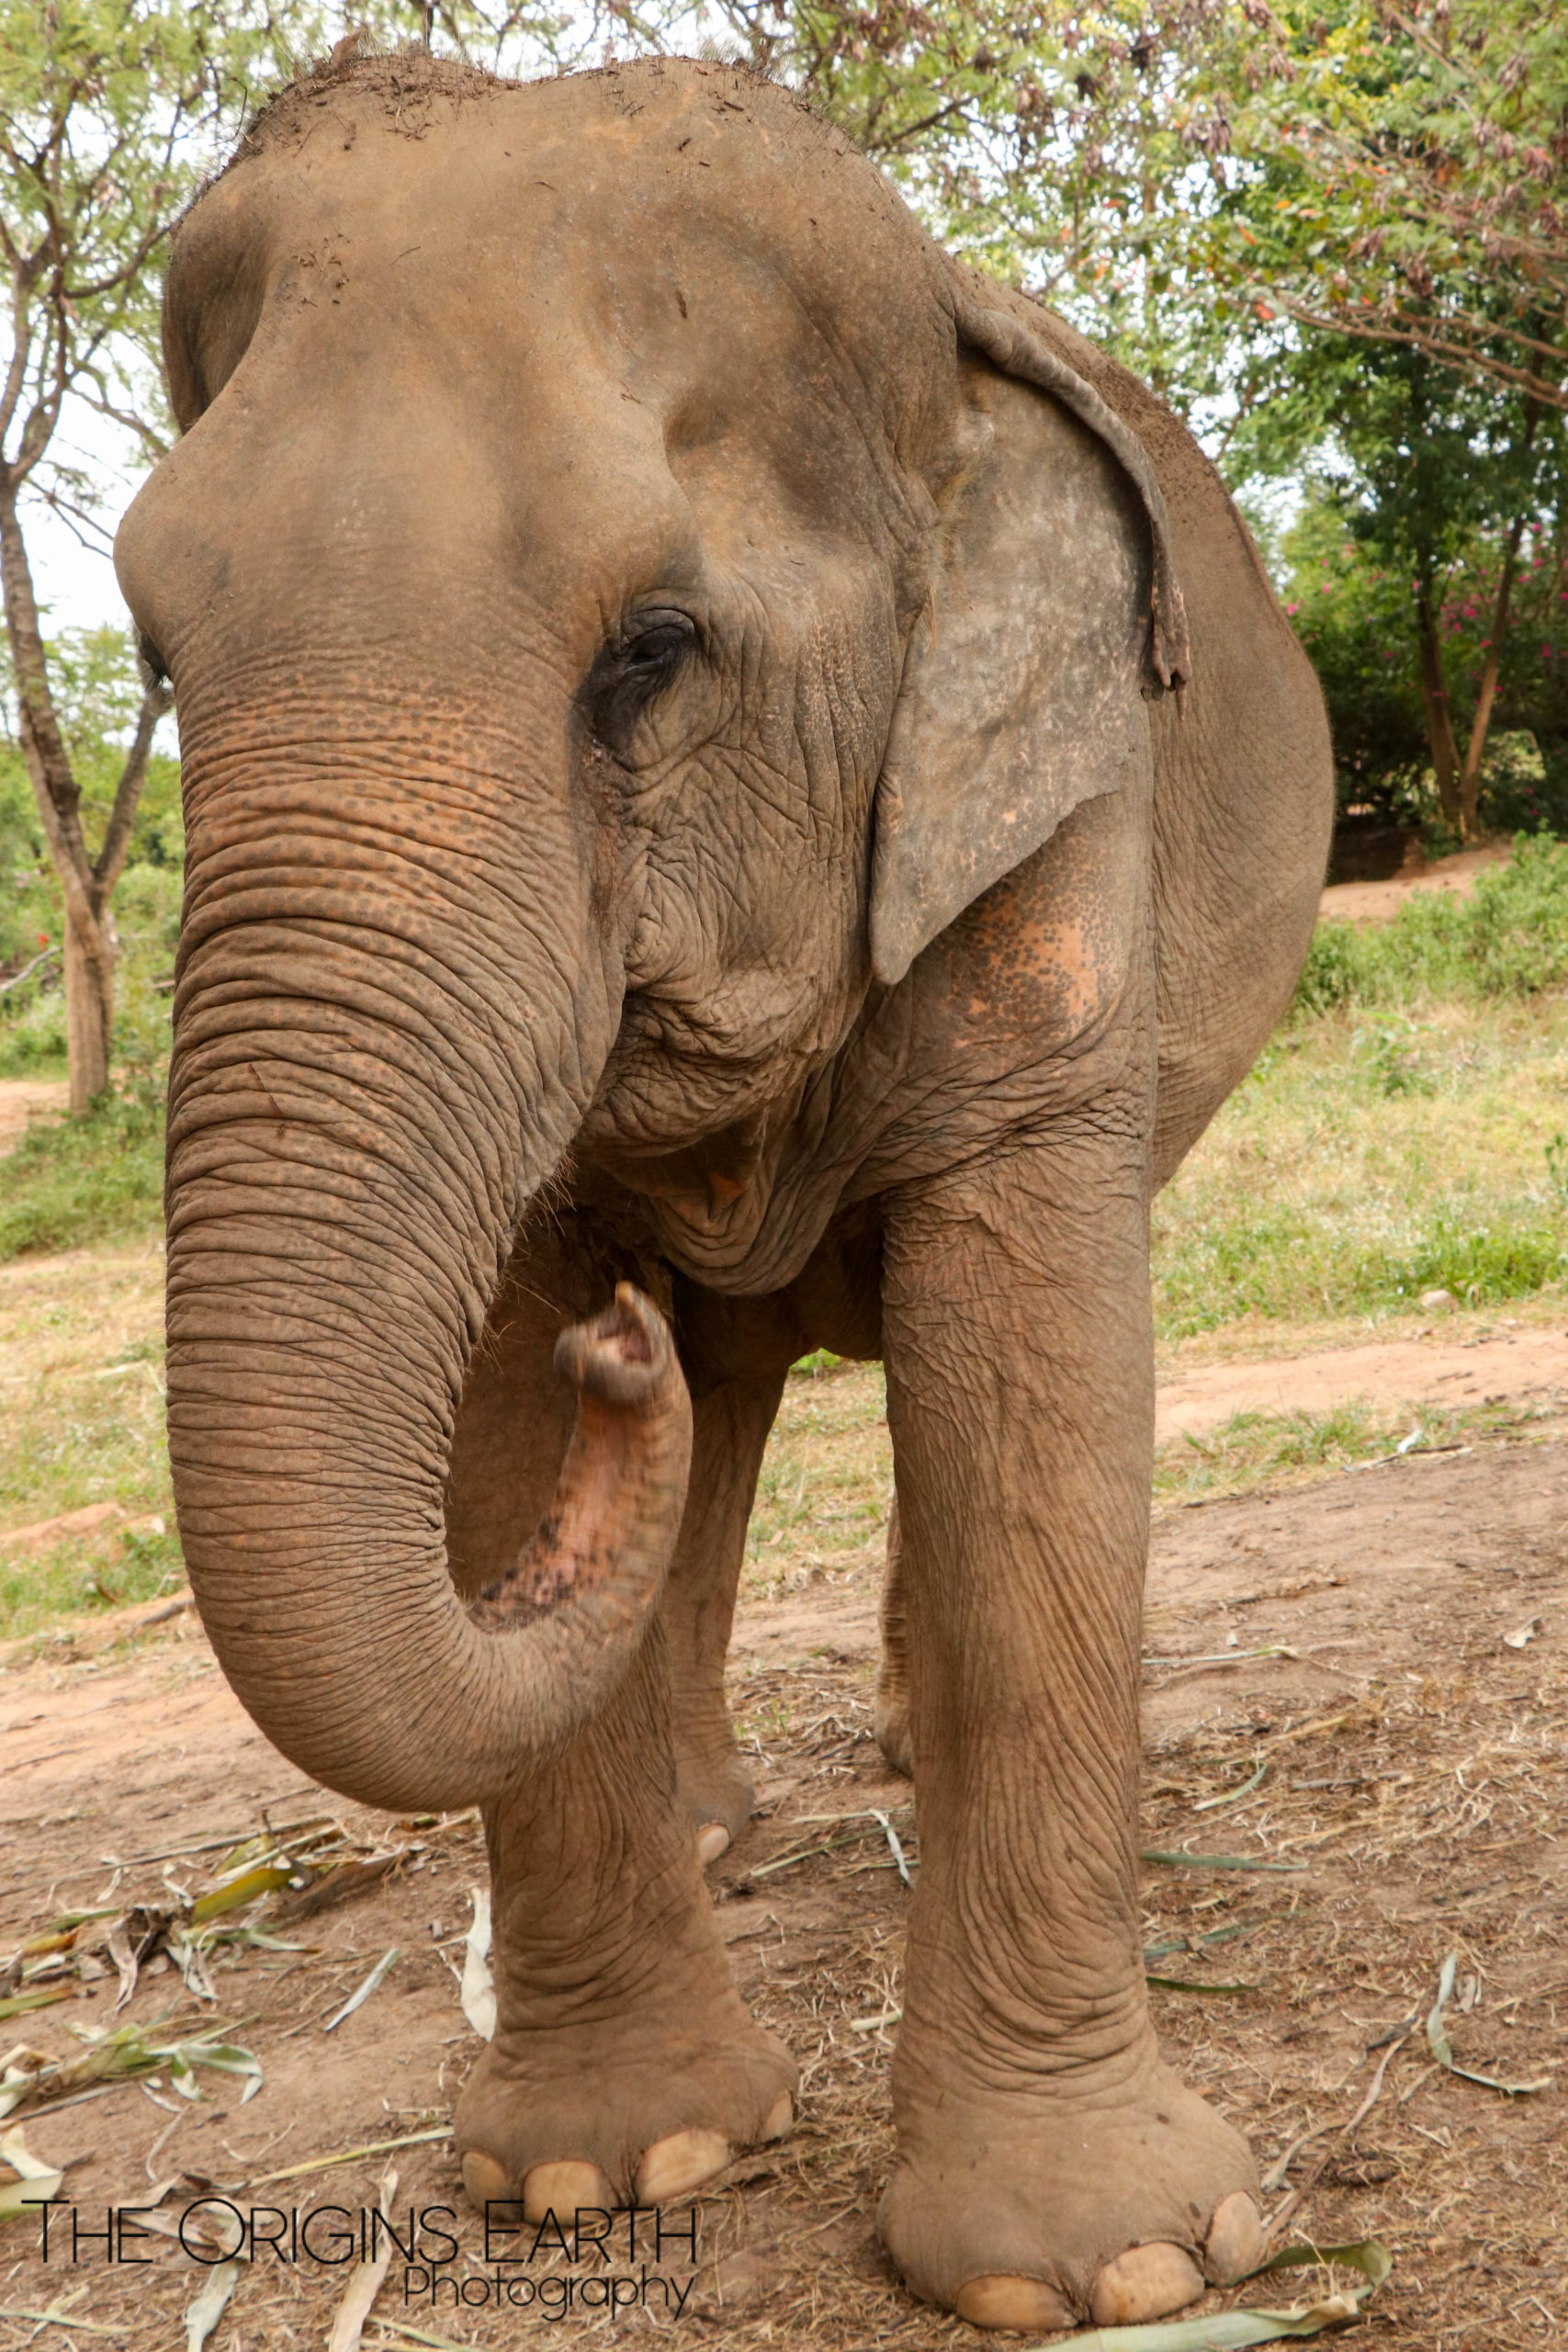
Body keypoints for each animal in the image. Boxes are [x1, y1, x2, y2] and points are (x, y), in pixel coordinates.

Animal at [116, 51, 1335, 2333]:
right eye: (147, 642)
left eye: (652, 649)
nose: (620, 1350)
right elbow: (514, 1382)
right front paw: (622, 2168)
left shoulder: (1056, 804)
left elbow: (1032, 1381)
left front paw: (1117, 2259)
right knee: (734, 1403)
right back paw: (711, 1821)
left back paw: (888, 1756)